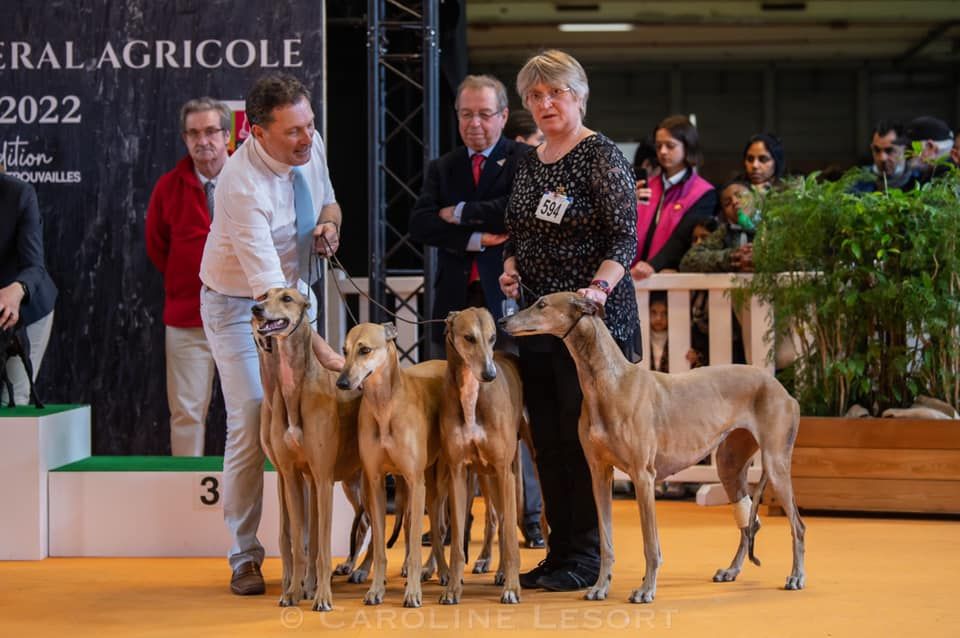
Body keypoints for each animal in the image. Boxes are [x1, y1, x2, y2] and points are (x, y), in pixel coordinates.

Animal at [249, 288, 366, 608]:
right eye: (264, 295)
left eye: (287, 298)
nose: (256, 309)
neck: (291, 391)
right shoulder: (291, 475)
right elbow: (297, 540)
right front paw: (293, 591)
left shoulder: (321, 478)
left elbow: (320, 545)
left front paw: (321, 595)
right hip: (353, 481)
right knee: (366, 524)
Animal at [338, 324, 450, 608]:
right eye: (344, 350)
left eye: (365, 350)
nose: (342, 383)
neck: (384, 406)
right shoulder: (375, 482)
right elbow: (379, 544)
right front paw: (376, 589)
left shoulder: (416, 480)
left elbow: (416, 545)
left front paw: (413, 593)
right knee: (413, 526)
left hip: (436, 484)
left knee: (439, 529)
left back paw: (442, 571)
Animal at [436, 308, 520, 604]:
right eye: (469, 337)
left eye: (492, 337)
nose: (490, 374)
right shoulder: (458, 472)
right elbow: (456, 543)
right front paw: (452, 589)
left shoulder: (504, 470)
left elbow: (511, 537)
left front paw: (512, 588)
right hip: (483, 475)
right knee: (496, 518)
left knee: (507, 521)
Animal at [498, 294, 808, 604]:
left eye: (541, 304)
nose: (502, 321)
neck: (609, 383)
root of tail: (782, 389)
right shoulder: (599, 474)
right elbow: (606, 541)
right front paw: (600, 587)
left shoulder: (643, 476)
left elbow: (650, 544)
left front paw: (646, 589)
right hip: (729, 466)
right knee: (749, 522)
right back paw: (731, 570)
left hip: (776, 464)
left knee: (798, 525)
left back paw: (796, 576)